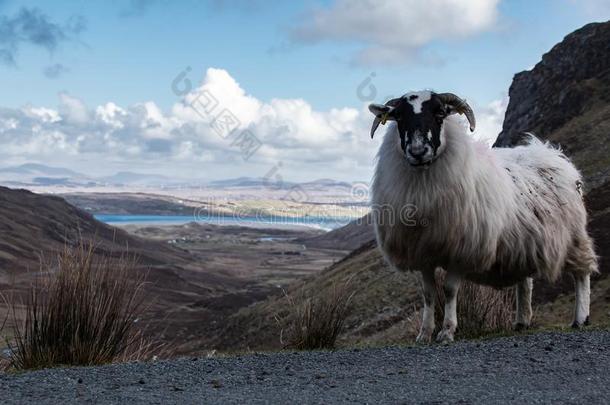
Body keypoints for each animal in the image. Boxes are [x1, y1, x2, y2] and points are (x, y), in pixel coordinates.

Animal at [368, 90, 596, 340]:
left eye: (440, 113)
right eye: (398, 117)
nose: (418, 152)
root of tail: (551, 152)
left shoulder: (461, 248)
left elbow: (449, 290)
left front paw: (447, 331)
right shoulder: (423, 251)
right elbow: (428, 294)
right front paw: (424, 334)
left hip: (573, 236)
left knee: (582, 273)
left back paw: (580, 318)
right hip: (523, 242)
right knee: (525, 281)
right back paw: (521, 321)